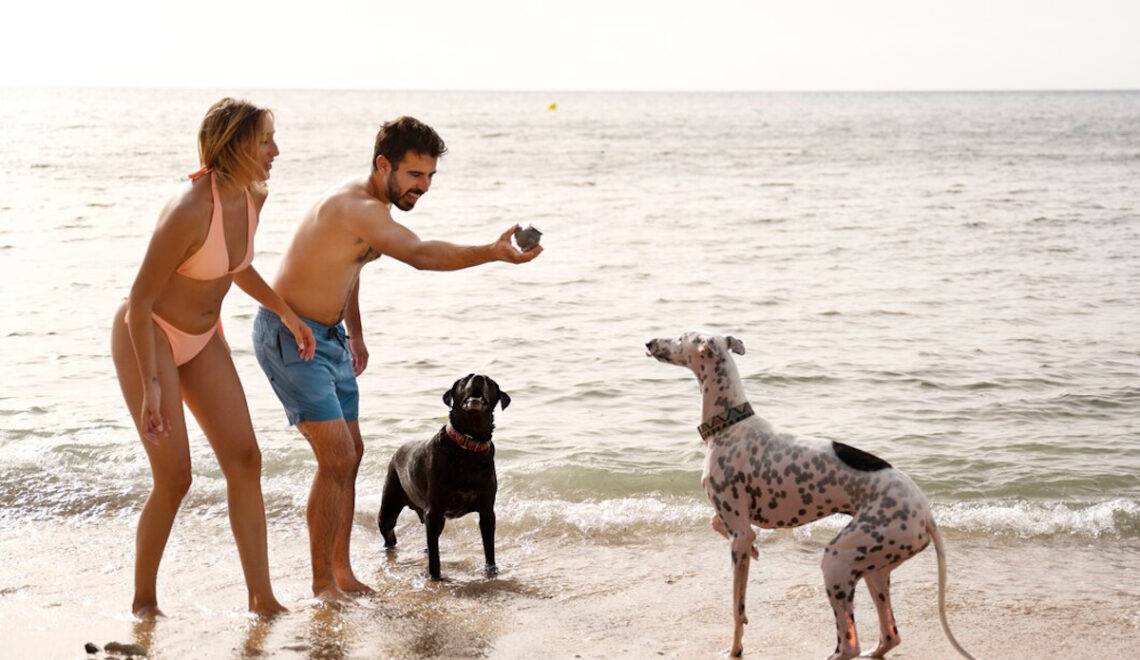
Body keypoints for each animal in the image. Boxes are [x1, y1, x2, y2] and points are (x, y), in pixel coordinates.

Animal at [378, 373, 513, 581]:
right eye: (466, 379)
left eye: (489, 381)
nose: (478, 377)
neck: (469, 444)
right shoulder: (434, 511)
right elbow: (435, 557)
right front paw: (435, 577)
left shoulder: (487, 511)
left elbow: (489, 548)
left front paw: (491, 571)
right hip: (390, 503)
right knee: (390, 533)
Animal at [647, 335, 975, 660]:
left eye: (680, 337)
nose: (649, 343)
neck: (730, 423)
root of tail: (926, 512)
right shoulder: (738, 527)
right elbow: (720, 524)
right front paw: (755, 548)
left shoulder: (738, 536)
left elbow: (737, 607)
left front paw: (734, 649)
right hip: (874, 569)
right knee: (890, 635)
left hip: (838, 561)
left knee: (850, 644)